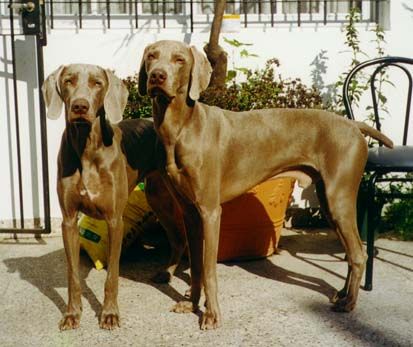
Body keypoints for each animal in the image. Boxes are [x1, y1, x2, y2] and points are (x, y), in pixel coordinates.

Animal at [138, 39, 392, 330]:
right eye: (151, 56)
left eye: (179, 59)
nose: (157, 76)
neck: (181, 128)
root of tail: (354, 124)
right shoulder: (190, 213)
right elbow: (197, 266)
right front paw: (191, 304)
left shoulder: (210, 212)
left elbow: (210, 269)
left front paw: (211, 314)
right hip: (329, 204)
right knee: (351, 252)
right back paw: (341, 293)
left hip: (338, 199)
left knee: (359, 254)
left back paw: (349, 303)